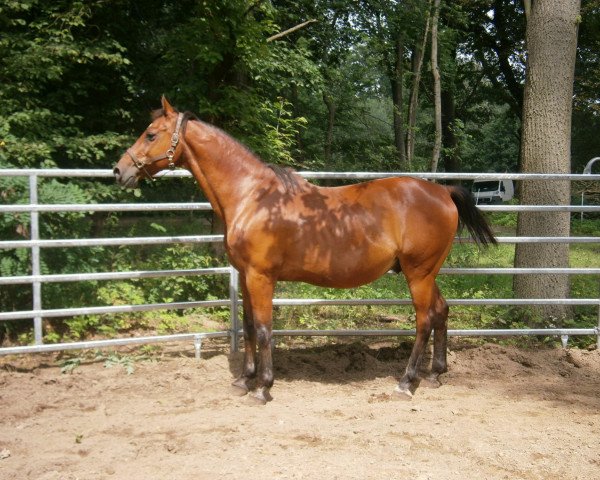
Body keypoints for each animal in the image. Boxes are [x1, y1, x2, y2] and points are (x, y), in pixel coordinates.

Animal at [113, 97, 496, 404]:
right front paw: (244, 380)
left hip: (418, 274)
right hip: (427, 273)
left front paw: (263, 388)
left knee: (424, 320)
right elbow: (249, 327)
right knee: (442, 311)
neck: (252, 197)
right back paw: (434, 375)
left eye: (151, 134)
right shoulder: (247, 277)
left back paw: (406, 382)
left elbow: (264, 329)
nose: (120, 170)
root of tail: (442, 191)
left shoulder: (261, 277)